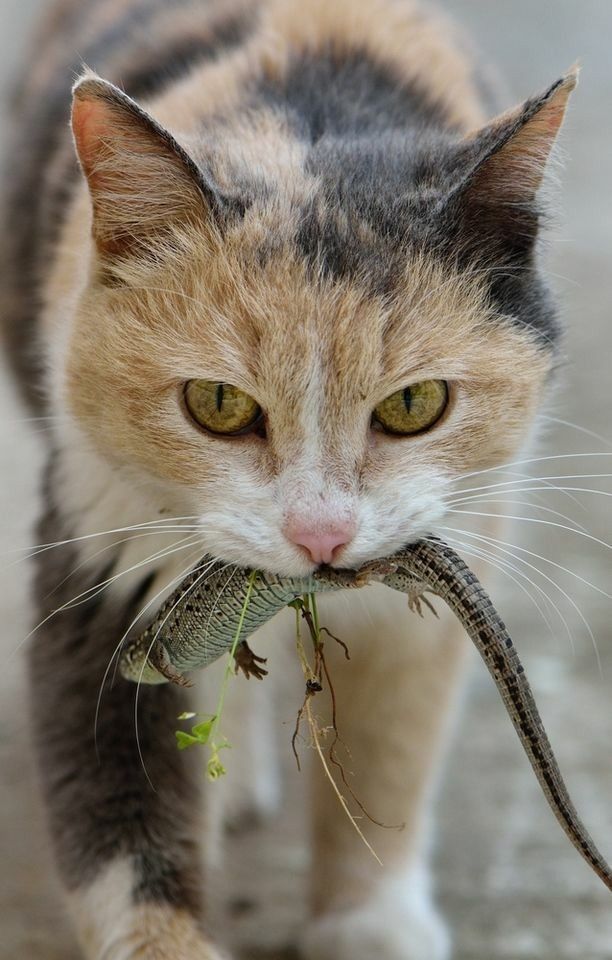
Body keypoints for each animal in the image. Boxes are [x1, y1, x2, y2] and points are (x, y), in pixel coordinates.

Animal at [1, 1, 572, 960]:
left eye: (414, 403)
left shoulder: (450, 562)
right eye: (218, 404)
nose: (321, 535)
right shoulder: (102, 559)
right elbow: (125, 844)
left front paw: (371, 922)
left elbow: (391, 749)